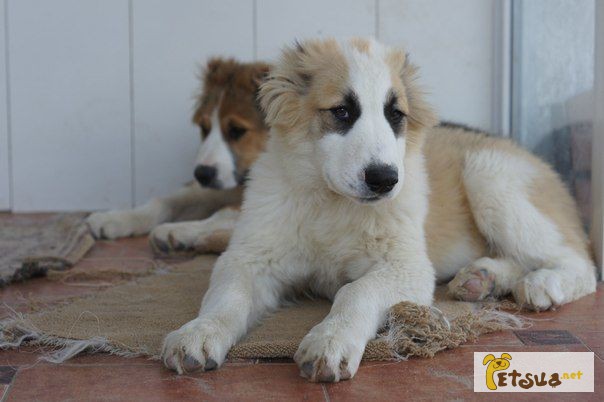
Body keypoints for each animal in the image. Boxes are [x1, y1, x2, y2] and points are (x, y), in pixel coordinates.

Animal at [86, 58, 270, 251]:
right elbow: (166, 201)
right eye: (204, 128)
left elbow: (228, 213)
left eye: (237, 130)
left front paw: (178, 230)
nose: (202, 175)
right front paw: (115, 218)